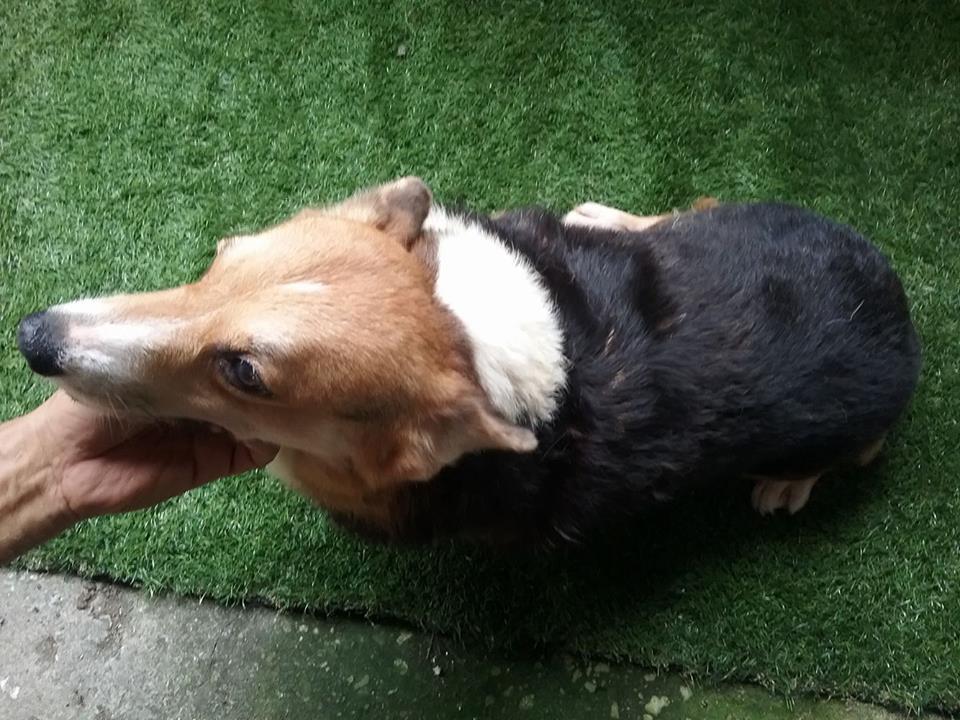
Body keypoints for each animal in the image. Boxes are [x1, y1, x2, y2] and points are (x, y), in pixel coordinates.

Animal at [17, 178, 921, 544]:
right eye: (219, 259)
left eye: (245, 374)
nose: (33, 337)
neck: (460, 324)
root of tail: (897, 302)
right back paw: (614, 218)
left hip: (846, 431)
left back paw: (786, 485)